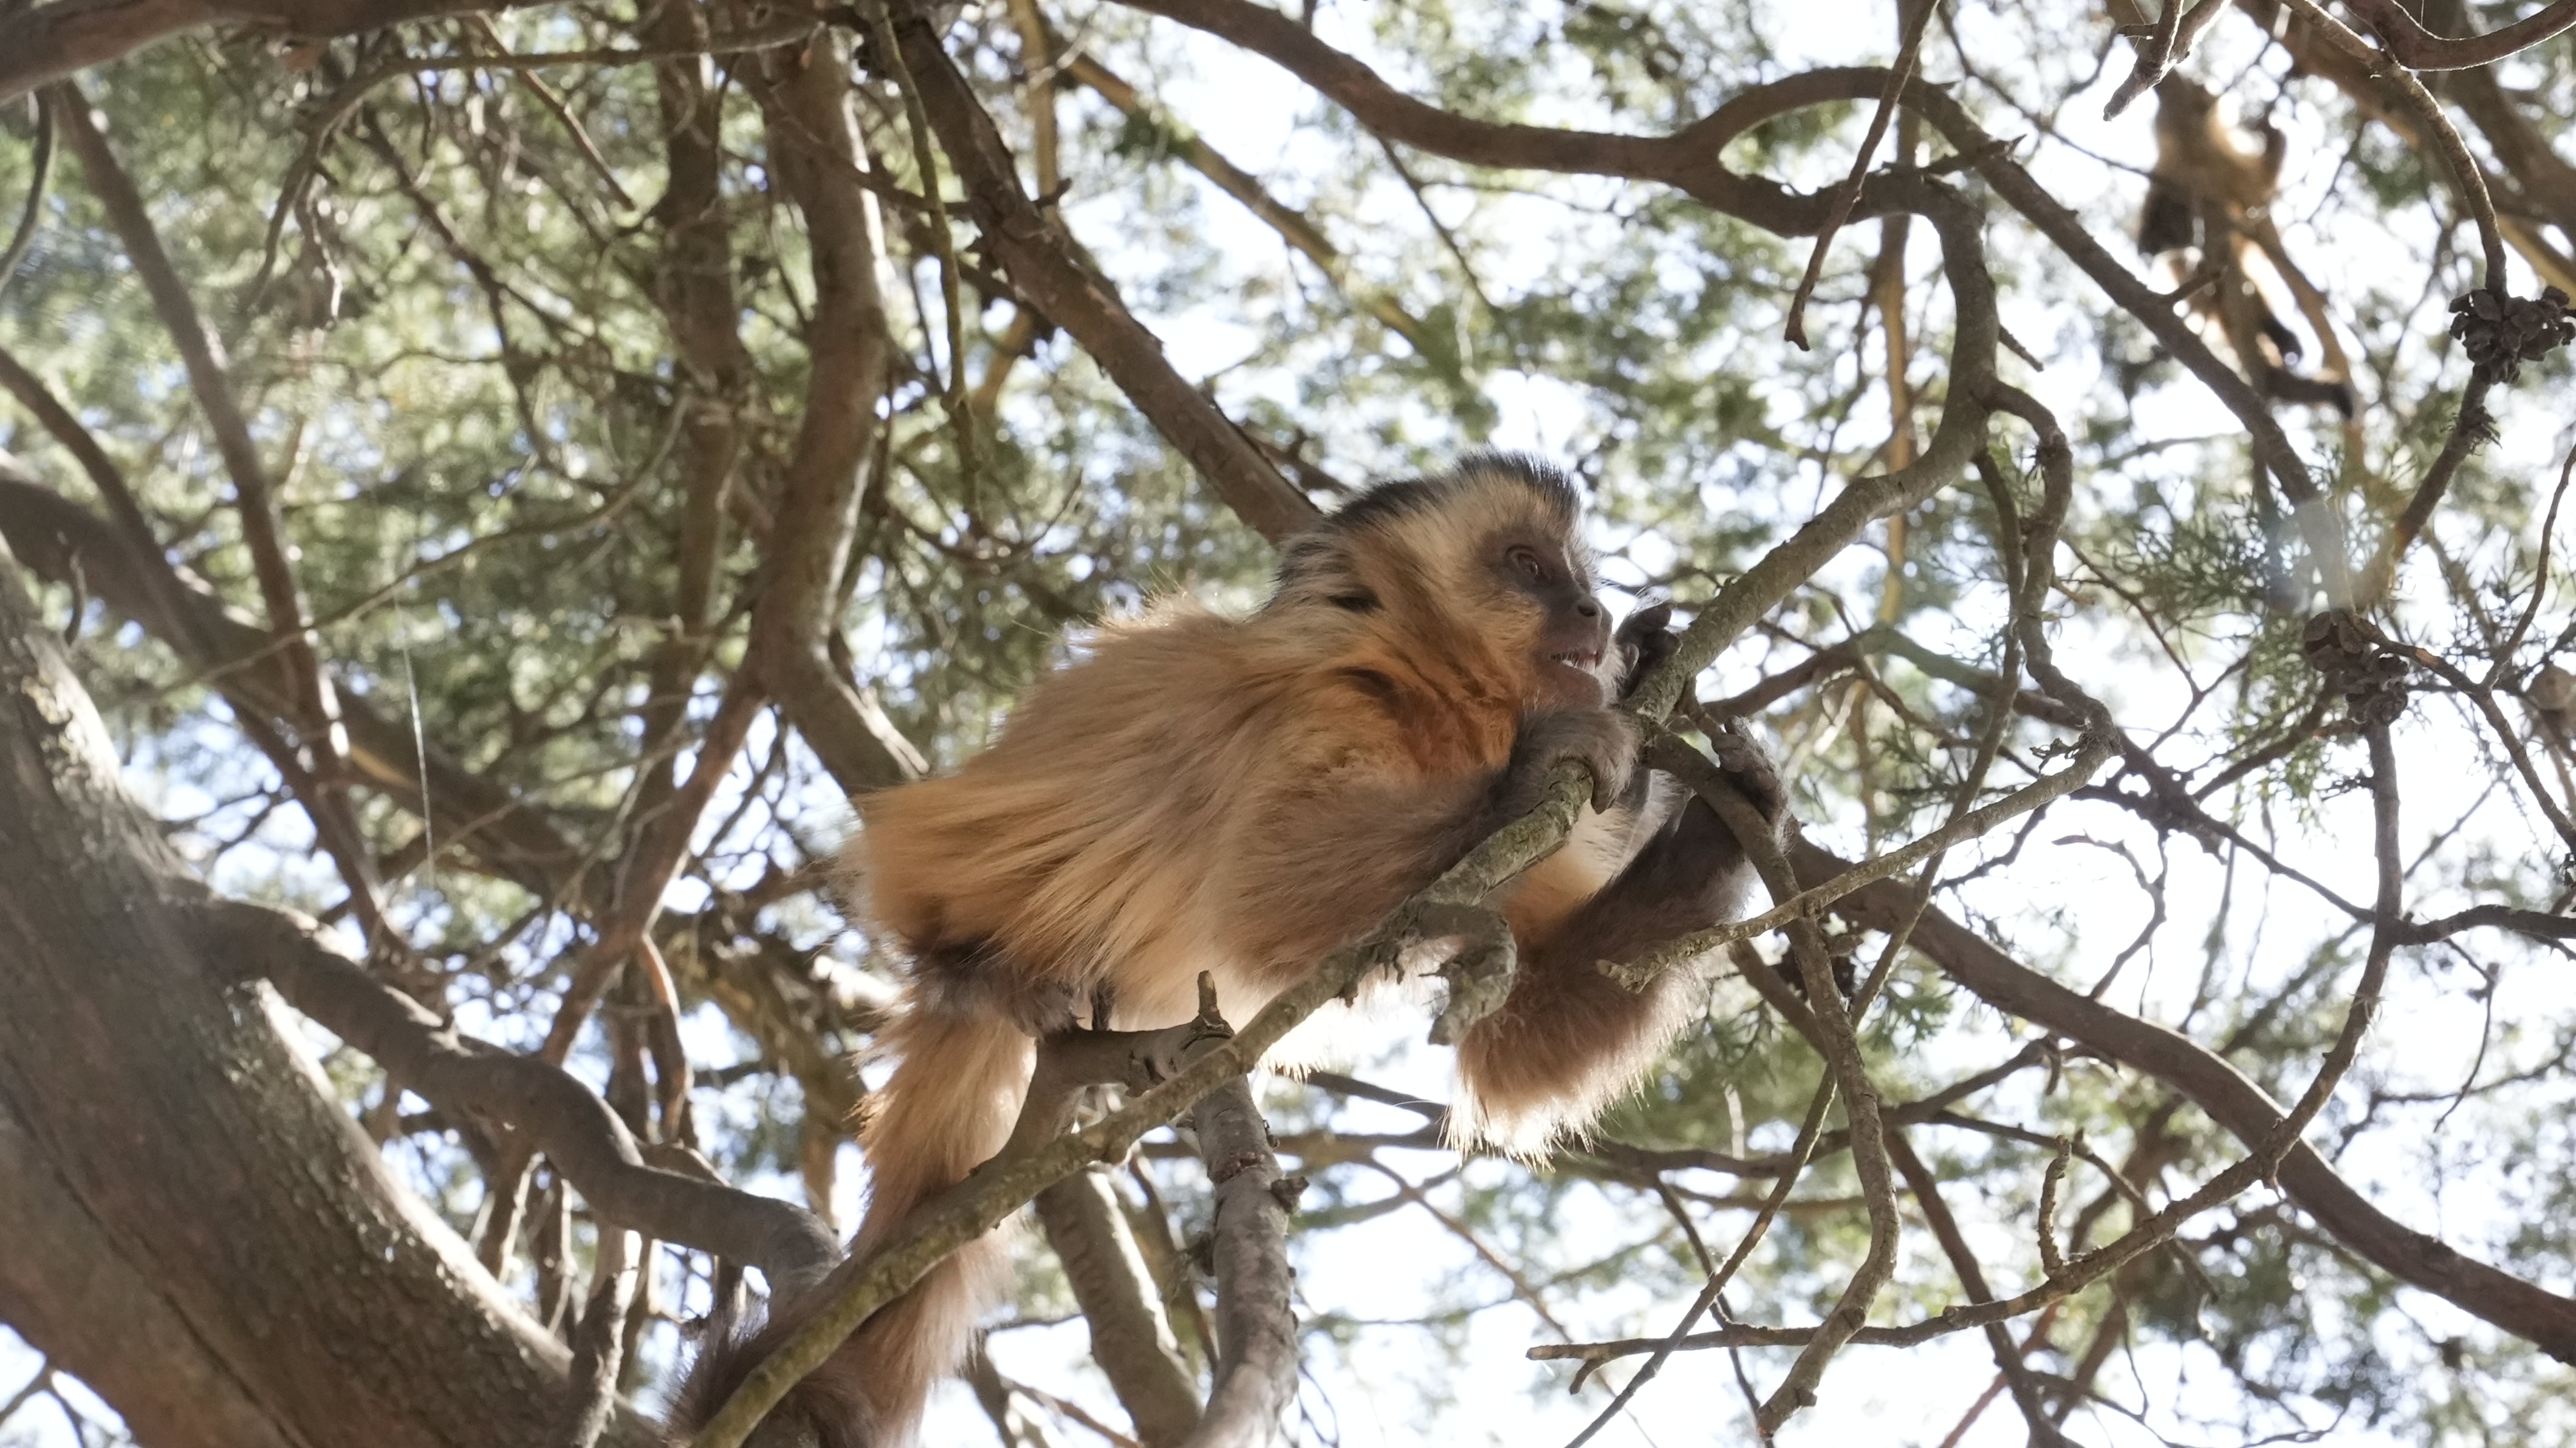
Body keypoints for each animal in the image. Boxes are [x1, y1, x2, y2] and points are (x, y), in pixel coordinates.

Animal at [674, 453, 1783, 1443]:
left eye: (1577, 573)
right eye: (1527, 564)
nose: (1593, 612)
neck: (1425, 693)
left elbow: (1514, 1047)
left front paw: (1724, 814)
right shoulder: (1322, 704)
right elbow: (1265, 893)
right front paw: (1542, 760)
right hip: (948, 882)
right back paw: (986, 973)